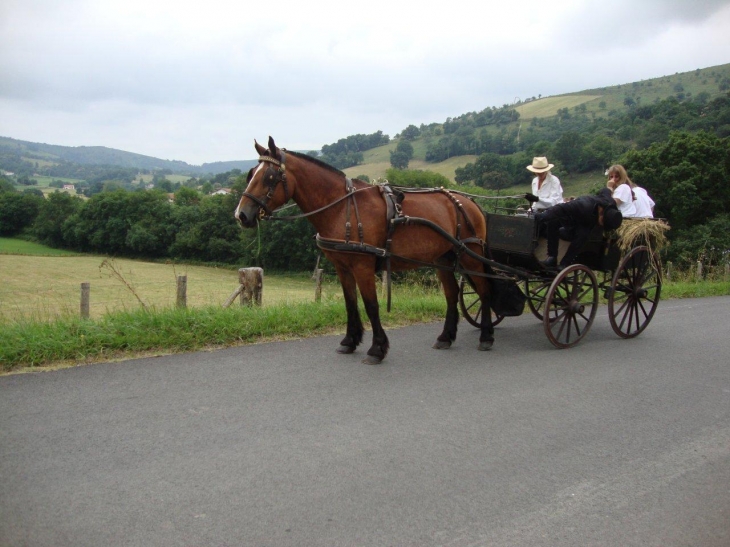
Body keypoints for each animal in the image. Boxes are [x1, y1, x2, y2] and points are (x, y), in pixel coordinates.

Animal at [235, 138, 494, 364]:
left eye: (269, 177)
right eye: (251, 174)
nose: (241, 215)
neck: (342, 207)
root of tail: (468, 202)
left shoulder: (363, 266)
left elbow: (371, 305)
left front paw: (377, 349)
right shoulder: (342, 267)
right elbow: (350, 302)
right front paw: (349, 341)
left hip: (470, 256)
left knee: (484, 290)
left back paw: (487, 336)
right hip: (443, 258)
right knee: (451, 294)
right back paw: (445, 337)